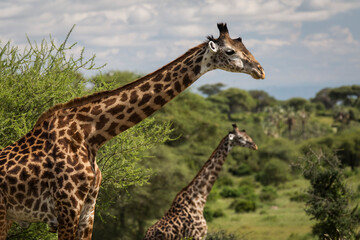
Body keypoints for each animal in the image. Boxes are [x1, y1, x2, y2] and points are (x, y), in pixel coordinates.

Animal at [0, 23, 264, 240]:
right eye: (230, 51)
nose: (260, 70)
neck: (91, 135)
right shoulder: (67, 207)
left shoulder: (88, 208)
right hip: (4, 214)